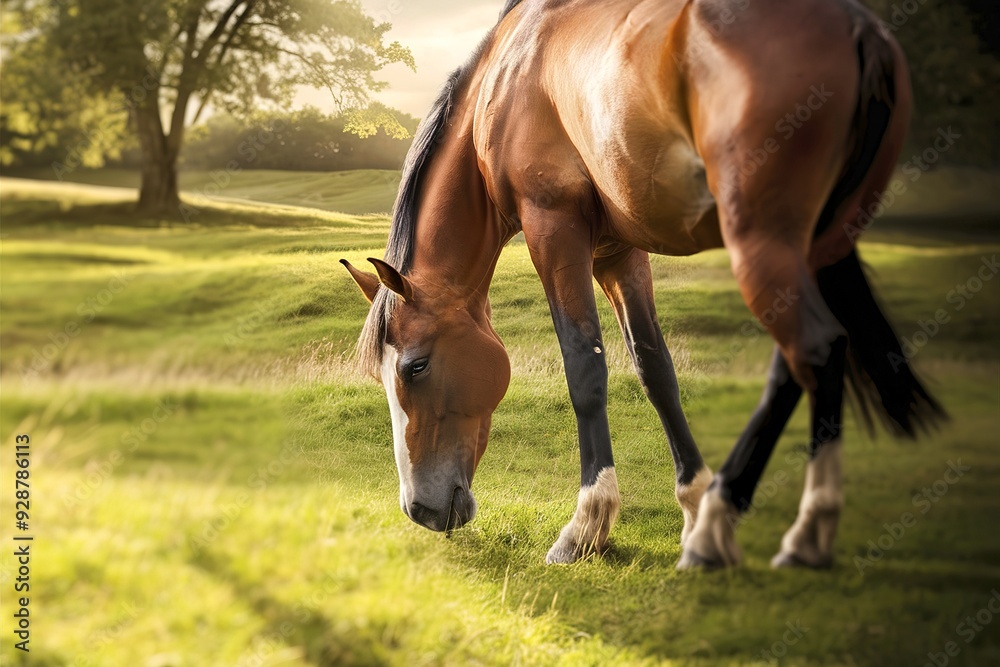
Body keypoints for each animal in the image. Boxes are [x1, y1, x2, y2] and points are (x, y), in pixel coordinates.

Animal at [341, 0, 944, 569]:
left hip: (763, 246)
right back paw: (716, 521)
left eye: (415, 367)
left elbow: (584, 366)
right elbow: (655, 369)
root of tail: (854, 23)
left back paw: (790, 532)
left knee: (817, 351)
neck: (508, 75)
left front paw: (587, 525)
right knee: (792, 369)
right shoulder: (618, 254)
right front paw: (692, 499)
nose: (419, 508)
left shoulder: (554, 228)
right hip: (813, 248)